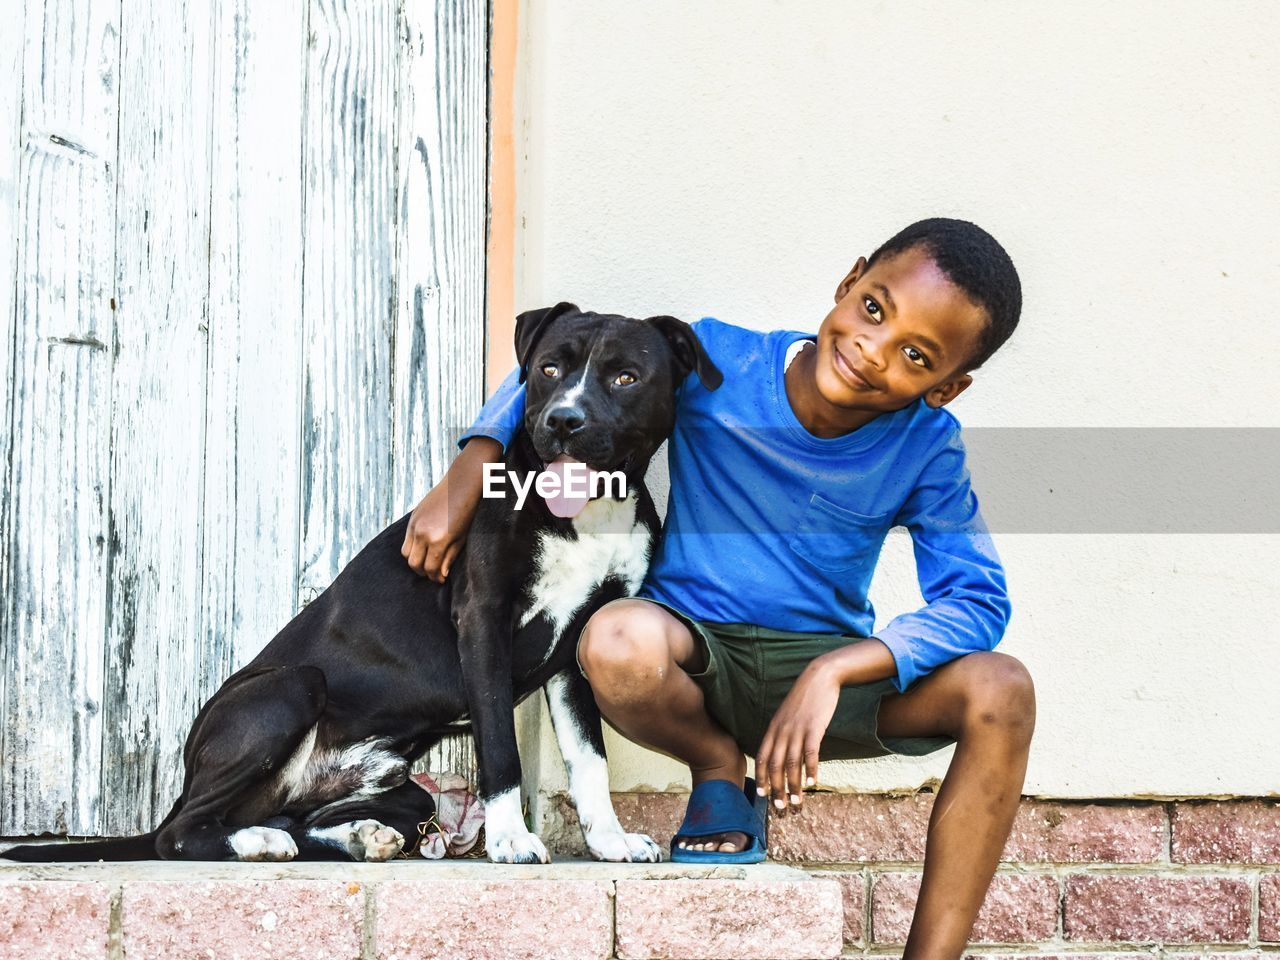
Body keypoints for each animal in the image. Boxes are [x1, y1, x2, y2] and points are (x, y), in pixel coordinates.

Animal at [0, 304, 721, 870]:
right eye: (548, 368)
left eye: (625, 377)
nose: (564, 422)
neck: (583, 516)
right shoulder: (483, 624)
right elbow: (500, 749)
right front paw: (512, 840)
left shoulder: (575, 648)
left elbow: (589, 758)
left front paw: (611, 842)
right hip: (292, 688)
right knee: (178, 833)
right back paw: (257, 841)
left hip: (399, 783)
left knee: (301, 819)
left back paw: (356, 836)